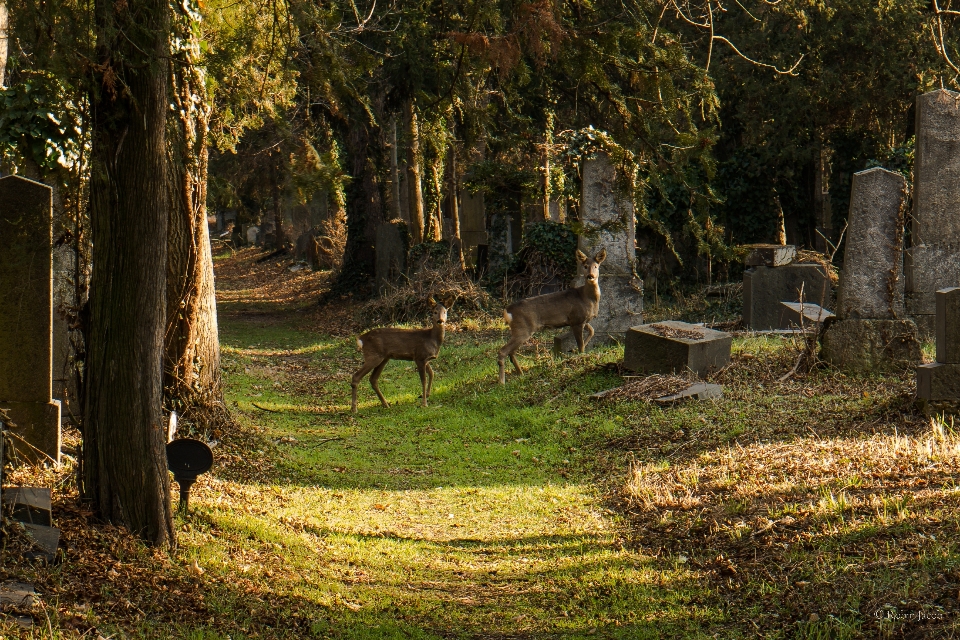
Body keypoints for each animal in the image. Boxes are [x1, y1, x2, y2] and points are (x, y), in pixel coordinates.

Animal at [496, 248, 608, 382]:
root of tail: (507, 311)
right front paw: (580, 355)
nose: (590, 276)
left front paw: (579, 350)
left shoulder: (582, 320)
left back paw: (520, 373)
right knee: (503, 351)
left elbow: (592, 331)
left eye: (596, 266)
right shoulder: (576, 319)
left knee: (511, 352)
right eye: (585, 266)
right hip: (523, 328)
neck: (587, 297)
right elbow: (580, 343)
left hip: (519, 329)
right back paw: (502, 382)